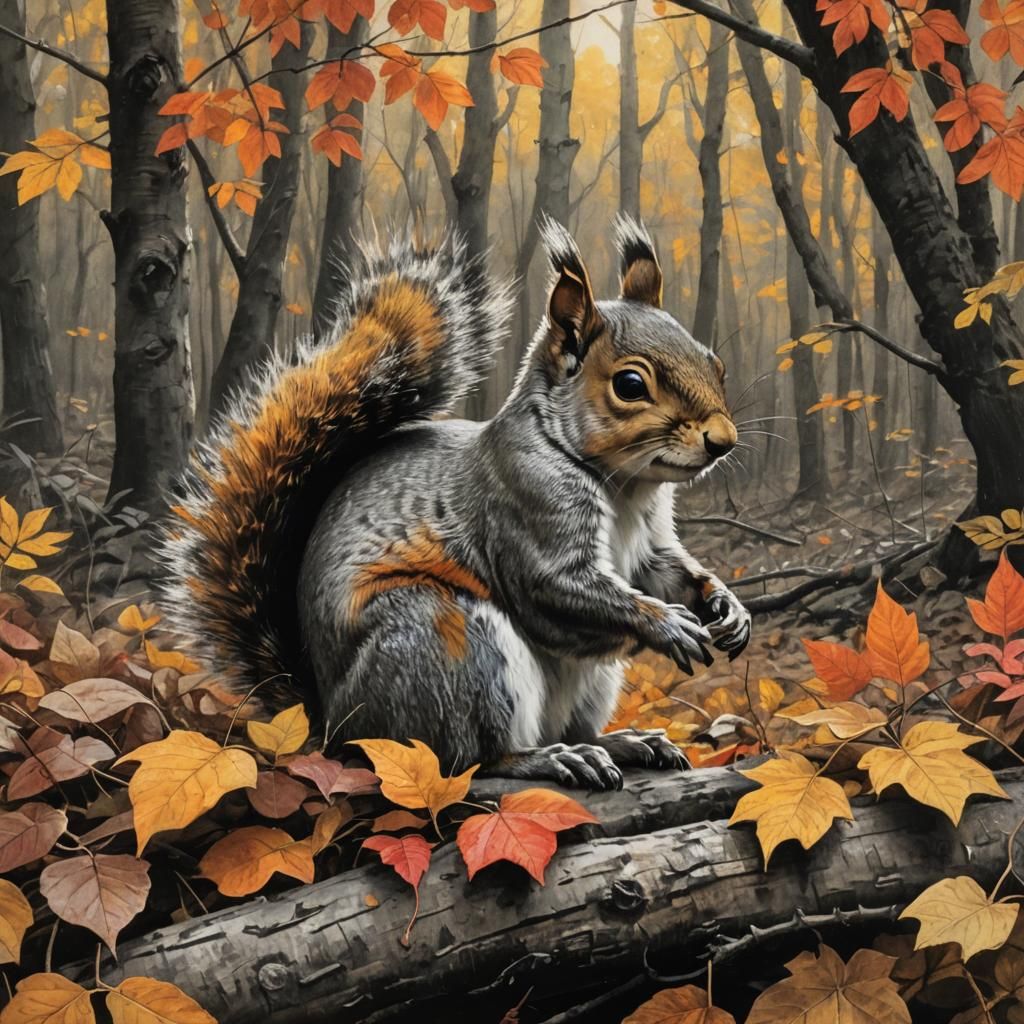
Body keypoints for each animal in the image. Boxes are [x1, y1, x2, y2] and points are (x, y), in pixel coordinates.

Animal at [160, 215, 751, 790]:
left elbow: (666, 571)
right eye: (630, 384)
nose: (723, 440)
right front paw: (667, 624)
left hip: (582, 680)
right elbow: (556, 589)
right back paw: (549, 759)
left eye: (717, 364)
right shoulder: (524, 508)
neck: (624, 485)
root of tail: (333, 725)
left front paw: (726, 606)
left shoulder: (649, 540)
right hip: (450, 644)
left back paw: (624, 742)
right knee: (470, 759)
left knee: (569, 726)